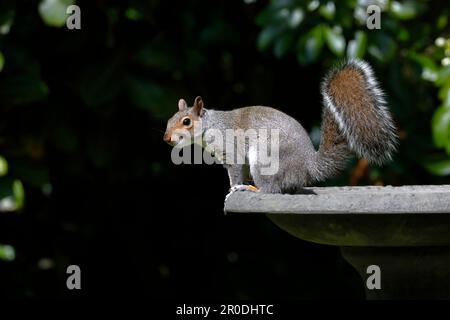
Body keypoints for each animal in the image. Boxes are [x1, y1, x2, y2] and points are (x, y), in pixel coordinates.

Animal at [163, 59, 396, 194]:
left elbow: (235, 171)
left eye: (186, 121)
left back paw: (252, 188)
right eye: (169, 120)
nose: (167, 138)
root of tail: (307, 165)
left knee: (270, 189)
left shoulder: (230, 148)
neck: (211, 125)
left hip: (264, 159)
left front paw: (234, 188)